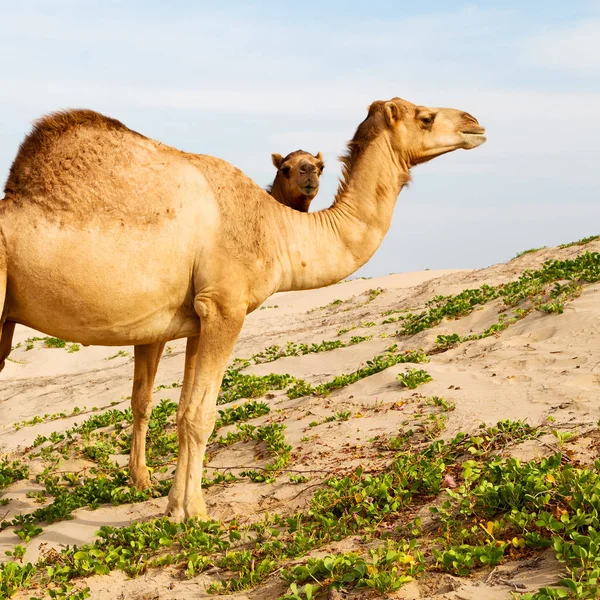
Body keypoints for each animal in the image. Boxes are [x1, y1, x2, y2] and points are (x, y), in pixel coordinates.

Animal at [0, 96, 486, 516]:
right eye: (425, 117)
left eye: (319, 166)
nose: (474, 122)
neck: (277, 229)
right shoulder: (224, 305)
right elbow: (201, 415)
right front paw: (194, 513)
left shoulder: (196, 319)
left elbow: (181, 411)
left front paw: (172, 505)